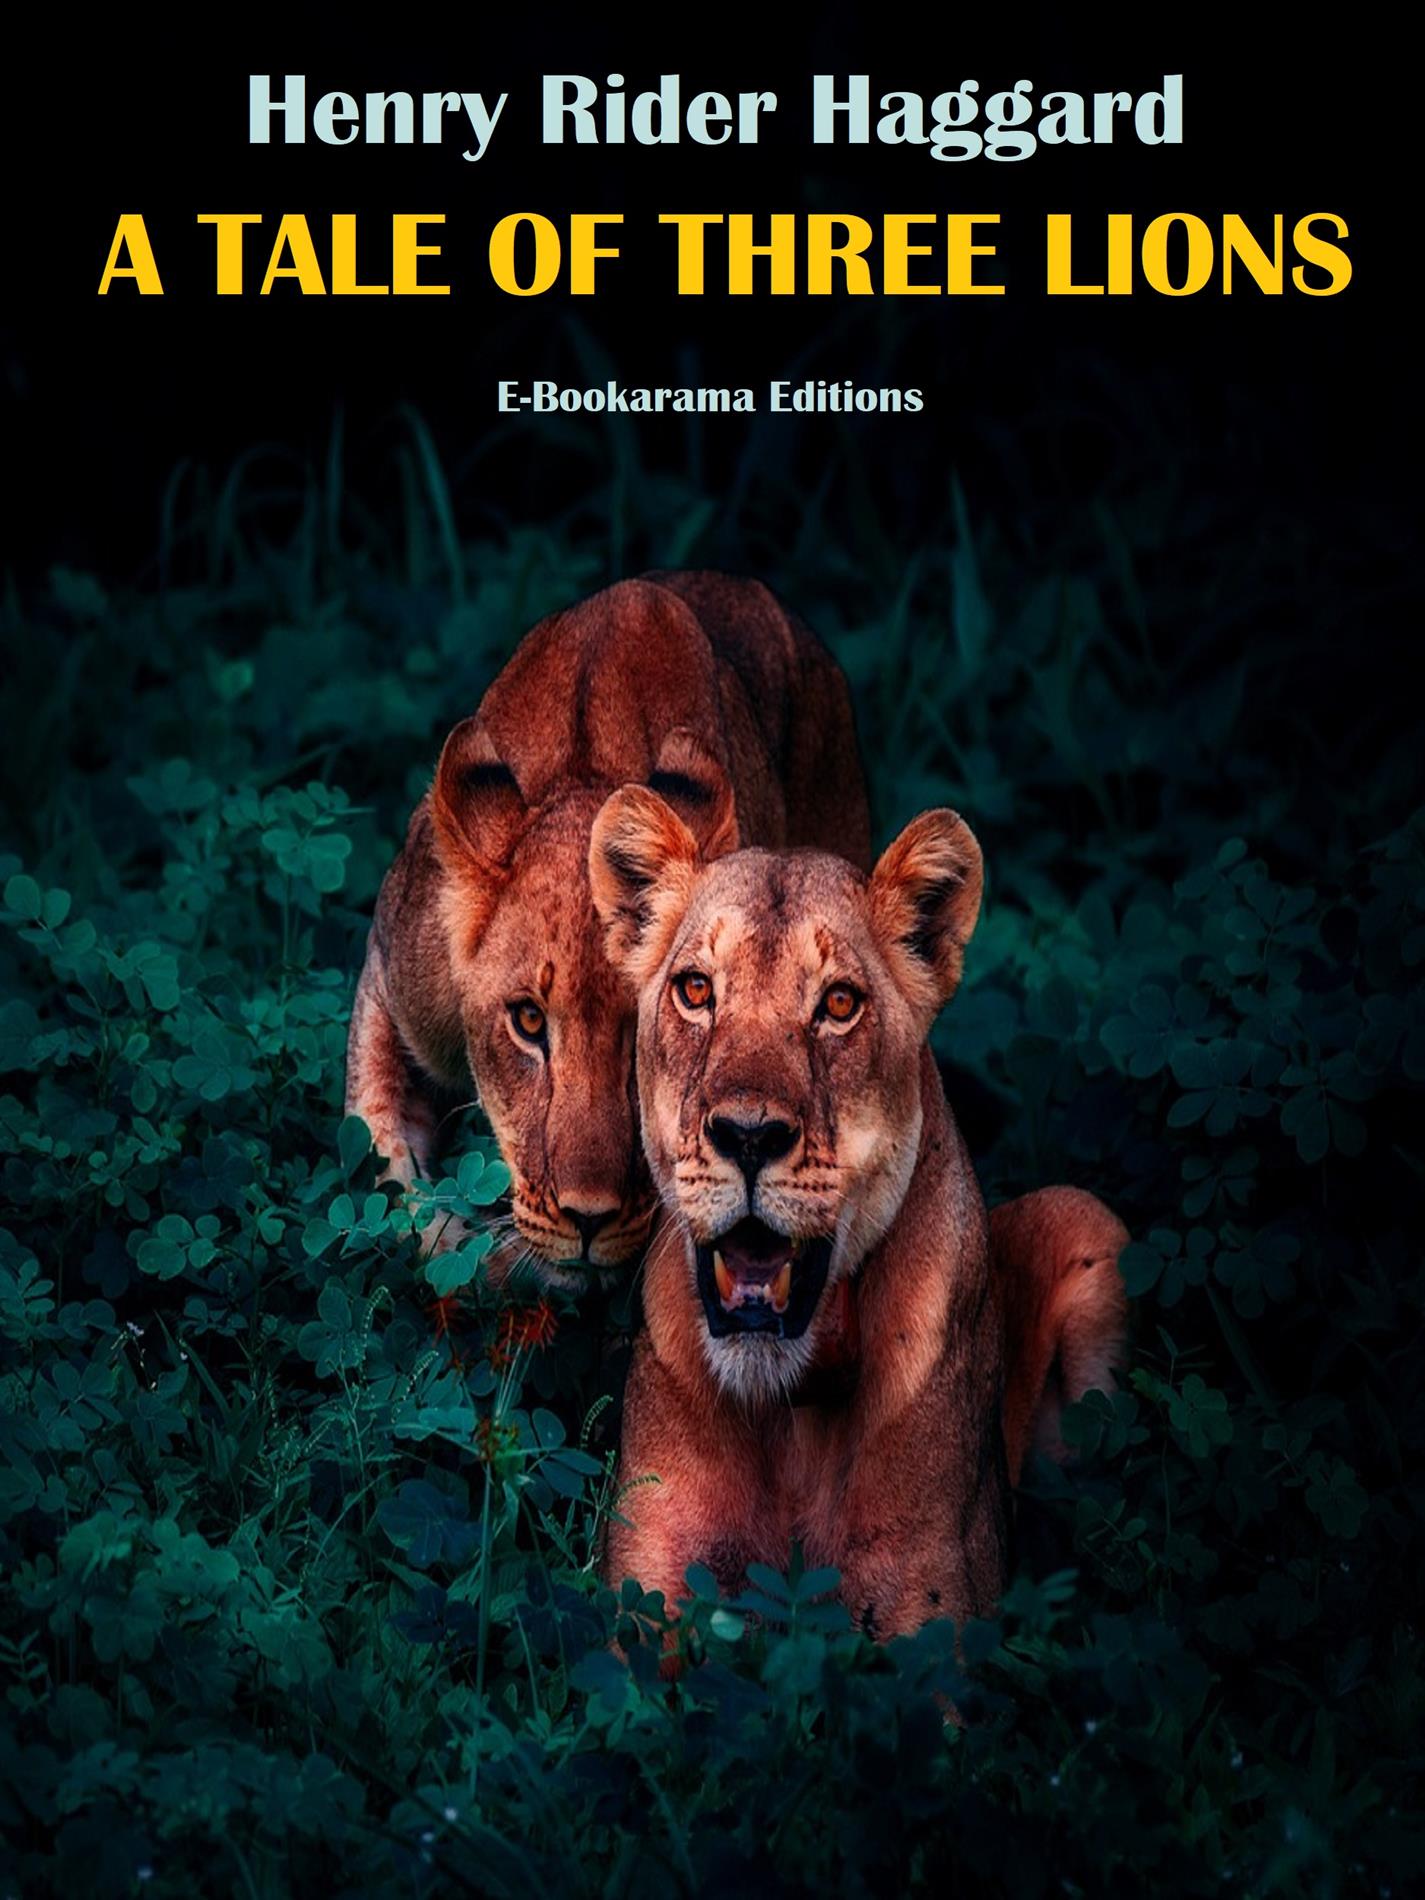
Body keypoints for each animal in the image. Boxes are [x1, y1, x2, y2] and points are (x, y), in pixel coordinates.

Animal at [588, 788, 1127, 1637]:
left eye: (838, 1004)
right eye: (696, 990)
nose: (747, 1136)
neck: (789, 1409)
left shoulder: (930, 1609)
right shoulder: (644, 1593)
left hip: (1084, 1217)